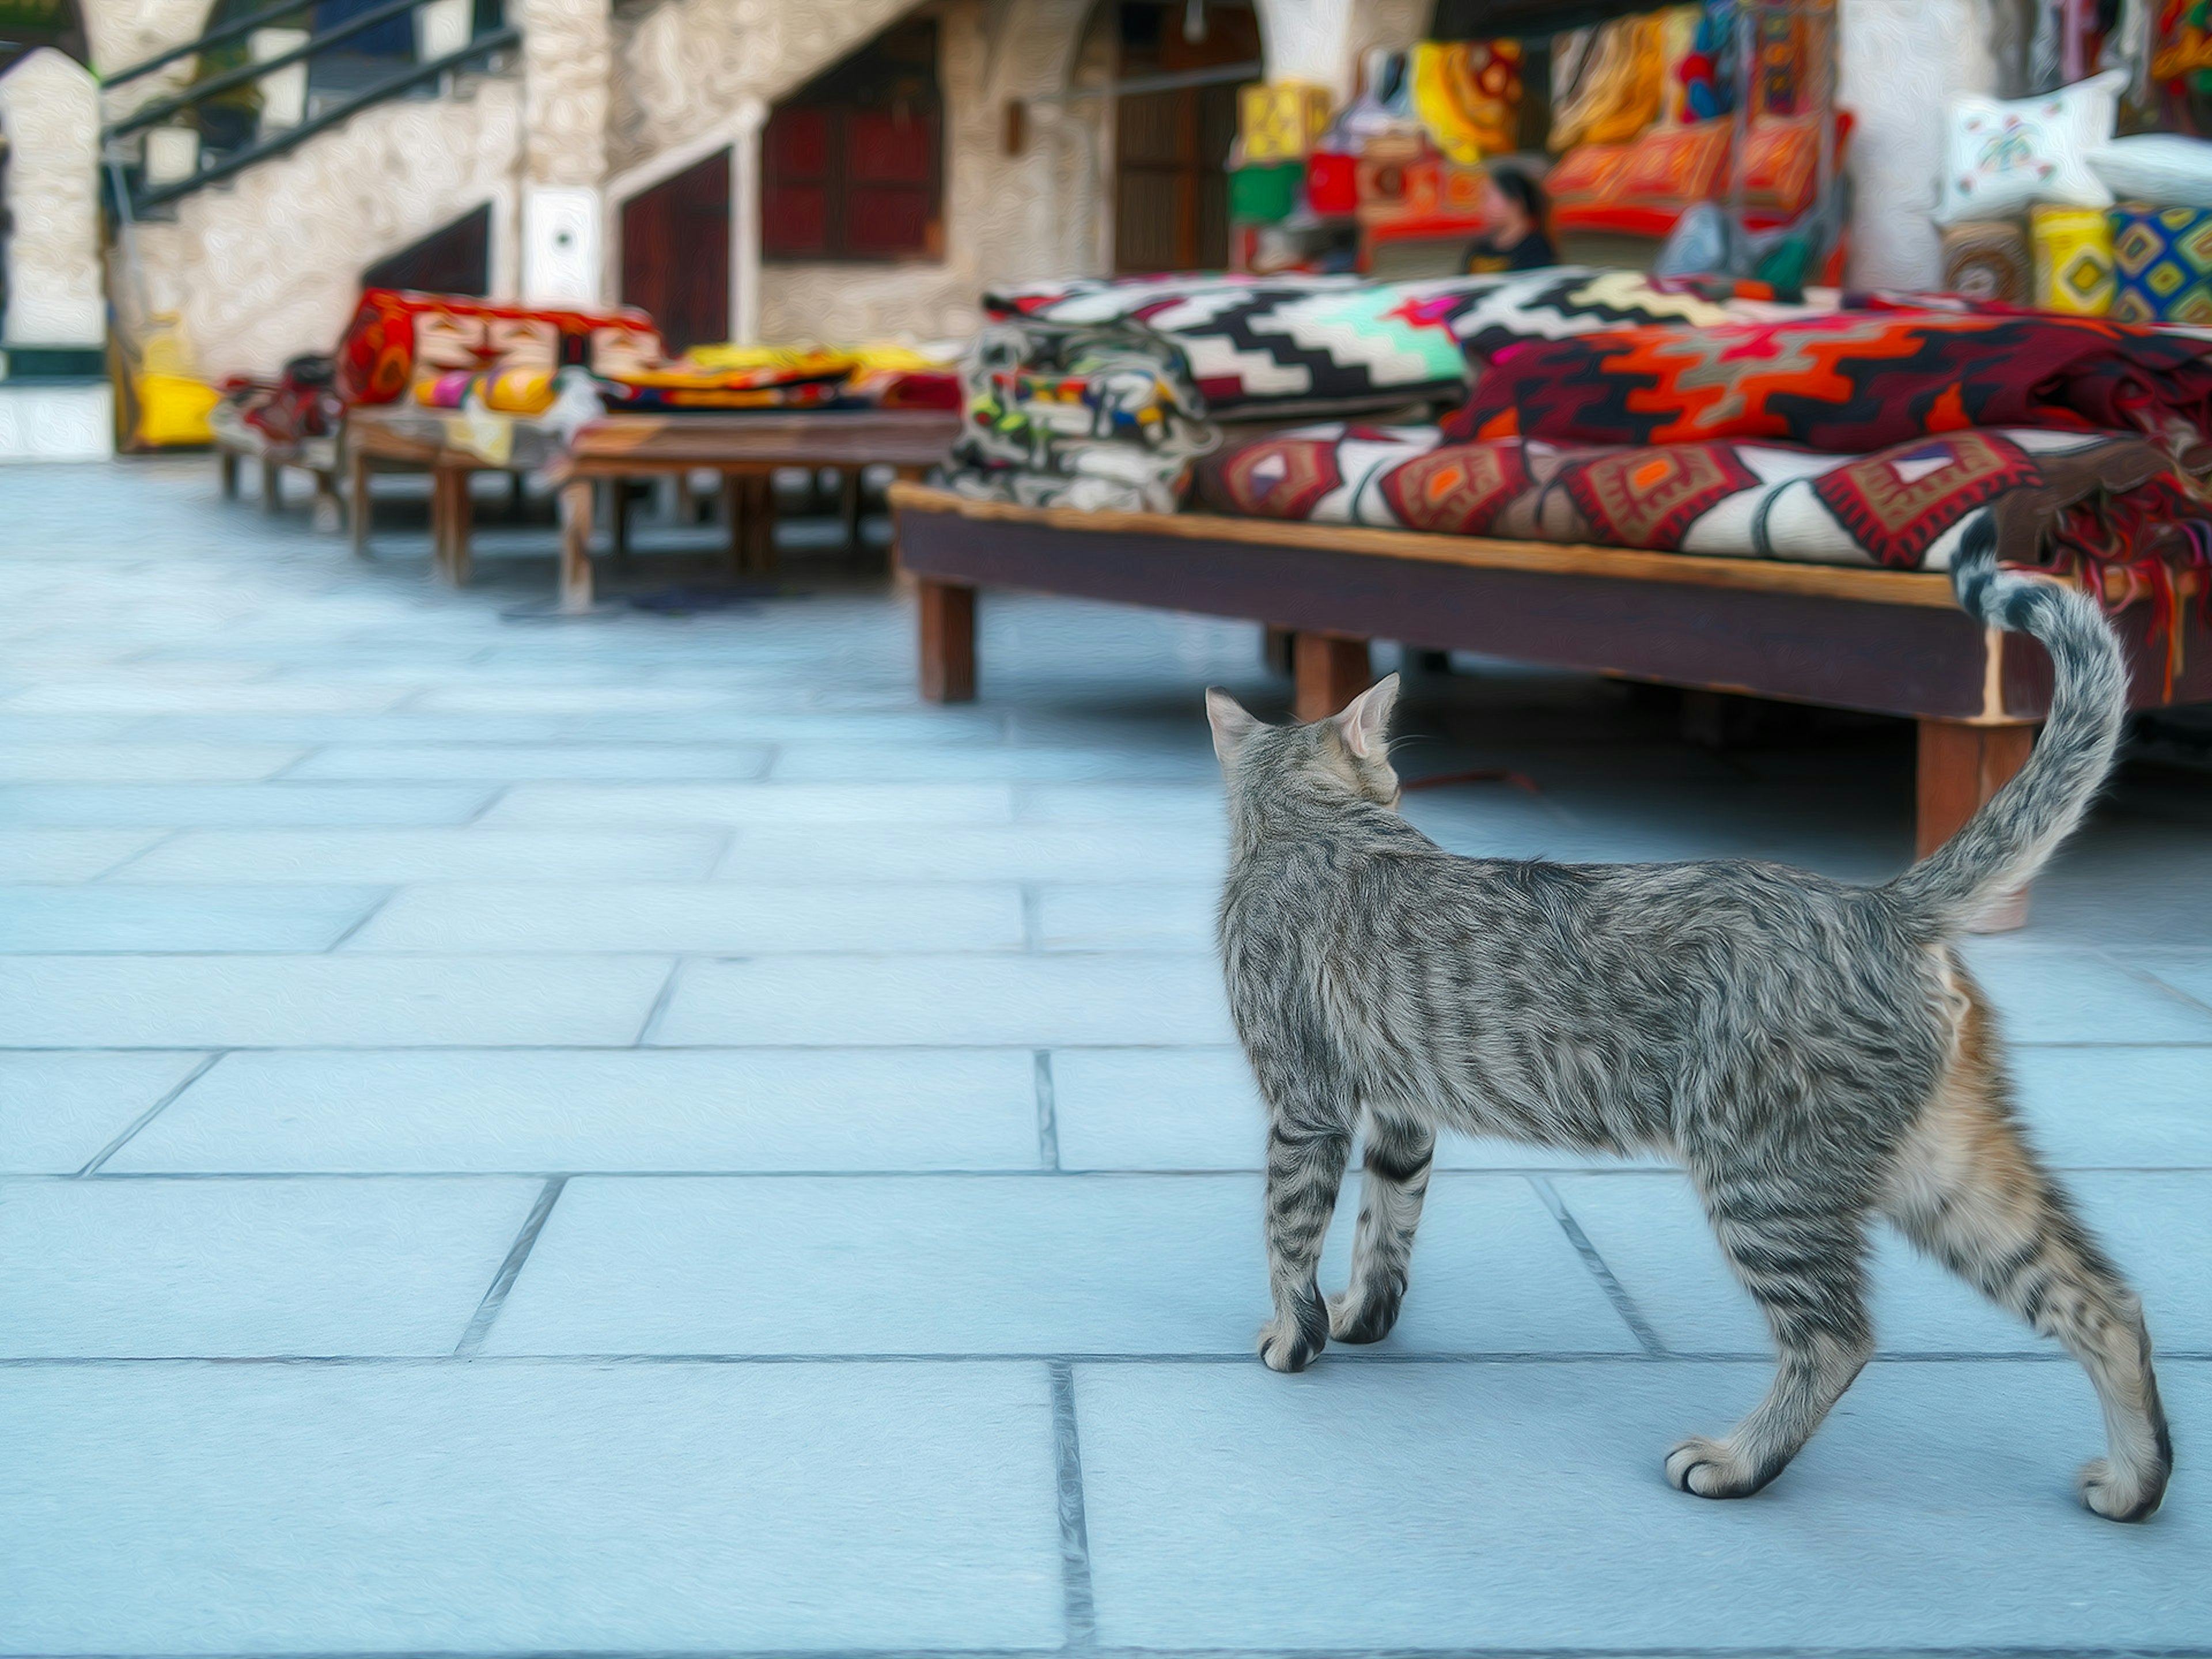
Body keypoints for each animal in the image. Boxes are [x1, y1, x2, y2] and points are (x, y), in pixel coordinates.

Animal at [1212, 520, 2158, 1521]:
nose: (1399, 782)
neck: (1317, 826)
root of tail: (1881, 905)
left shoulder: (1305, 1105)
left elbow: (1289, 1233)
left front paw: (1293, 1337)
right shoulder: (1402, 1115)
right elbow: (1383, 1229)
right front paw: (1362, 1316)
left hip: (1762, 1174)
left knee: (1839, 1337)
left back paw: (1737, 1460)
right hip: (1946, 1174)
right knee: (2103, 1302)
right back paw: (2136, 1483)